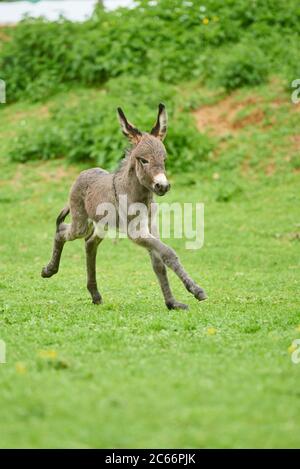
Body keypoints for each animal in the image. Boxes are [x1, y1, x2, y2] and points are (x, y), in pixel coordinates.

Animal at [41, 104, 206, 308]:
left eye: (164, 160)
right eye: (143, 160)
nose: (162, 186)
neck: (140, 197)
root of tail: (85, 171)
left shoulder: (151, 227)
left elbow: (158, 264)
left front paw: (172, 303)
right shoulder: (136, 233)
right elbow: (168, 253)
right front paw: (196, 290)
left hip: (101, 225)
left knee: (90, 243)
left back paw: (95, 294)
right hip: (81, 222)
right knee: (63, 230)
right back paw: (49, 270)